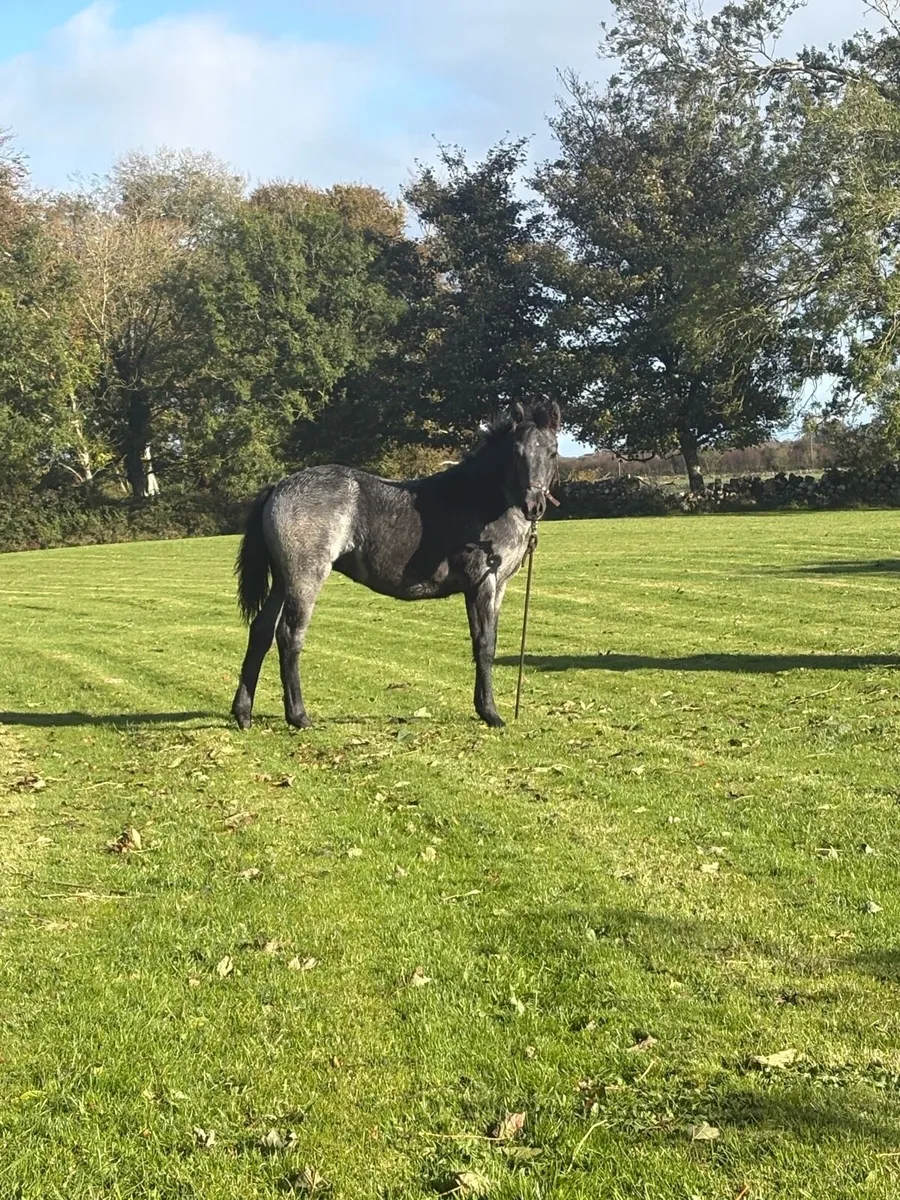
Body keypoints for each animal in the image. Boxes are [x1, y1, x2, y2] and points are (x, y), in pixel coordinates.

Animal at [230, 400, 561, 730]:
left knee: (261, 631)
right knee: (289, 635)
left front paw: (484, 708)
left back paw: (243, 714)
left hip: (282, 581)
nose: (534, 506)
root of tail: (278, 486)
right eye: (516, 451)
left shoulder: (498, 587)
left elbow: (486, 642)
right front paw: (491, 713)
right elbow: (485, 644)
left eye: (553, 452)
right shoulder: (482, 583)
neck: (480, 499)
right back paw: (299, 716)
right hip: (305, 579)